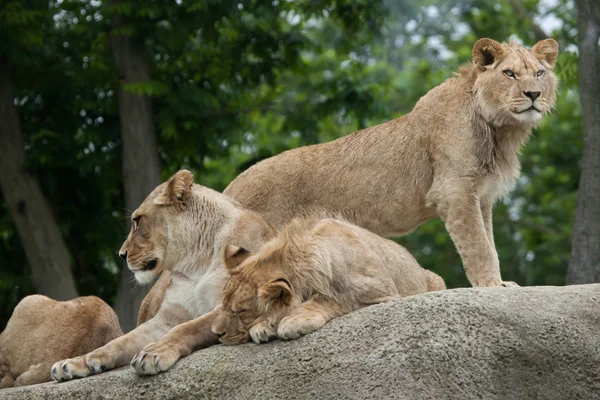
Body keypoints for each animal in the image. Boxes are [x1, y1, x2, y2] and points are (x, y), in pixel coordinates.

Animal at [212, 217, 446, 346]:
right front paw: (261, 327)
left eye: (241, 312)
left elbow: (333, 298)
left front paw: (294, 320)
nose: (216, 333)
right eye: (224, 305)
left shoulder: (379, 289)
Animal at [225, 37, 556, 288]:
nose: (533, 94)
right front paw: (491, 286)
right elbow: (479, 247)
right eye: (510, 74)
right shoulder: (455, 191)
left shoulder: (482, 197)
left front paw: (501, 283)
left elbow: (489, 243)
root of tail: (231, 187)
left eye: (539, 73)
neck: (500, 128)